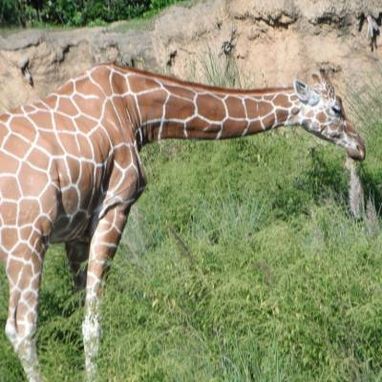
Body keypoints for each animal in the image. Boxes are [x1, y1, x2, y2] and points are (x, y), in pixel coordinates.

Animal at [0, 64, 364, 380]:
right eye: (336, 109)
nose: (360, 146)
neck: (134, 109)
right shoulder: (115, 206)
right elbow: (92, 319)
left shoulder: (77, 229)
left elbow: (78, 311)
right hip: (26, 239)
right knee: (20, 328)